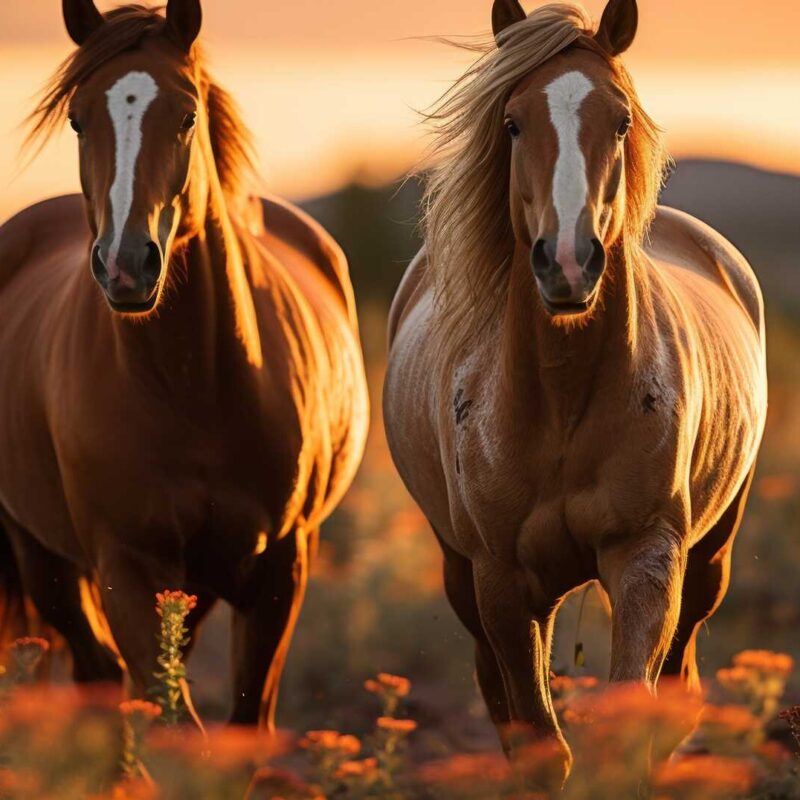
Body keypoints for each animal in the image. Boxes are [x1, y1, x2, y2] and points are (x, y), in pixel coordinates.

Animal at [0, 0, 368, 728]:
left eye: (187, 114)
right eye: (78, 118)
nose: (125, 264)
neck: (197, 386)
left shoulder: (280, 569)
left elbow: (244, 721)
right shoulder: (128, 569)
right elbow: (168, 714)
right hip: (42, 557)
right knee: (94, 671)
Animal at [388, 0, 768, 788]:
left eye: (620, 121)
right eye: (511, 122)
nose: (567, 262)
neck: (561, 404)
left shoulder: (647, 557)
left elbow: (630, 723)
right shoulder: (500, 581)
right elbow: (538, 745)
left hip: (709, 559)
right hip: (461, 573)